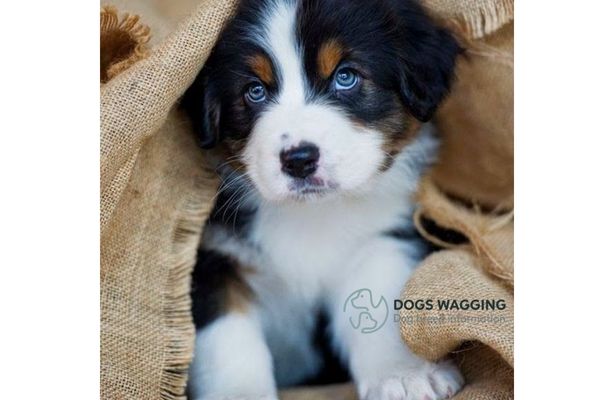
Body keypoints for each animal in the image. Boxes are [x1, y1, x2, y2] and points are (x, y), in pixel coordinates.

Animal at [184, 0, 464, 398]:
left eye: (345, 77)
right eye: (254, 91)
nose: (299, 160)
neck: (312, 215)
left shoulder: (381, 237)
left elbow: (379, 305)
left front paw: (405, 374)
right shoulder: (214, 258)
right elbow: (228, 344)